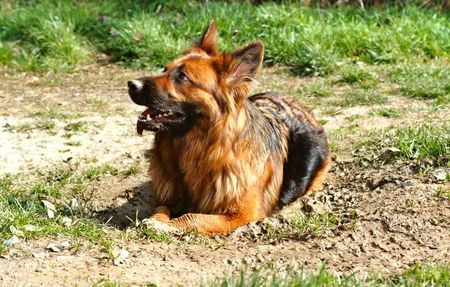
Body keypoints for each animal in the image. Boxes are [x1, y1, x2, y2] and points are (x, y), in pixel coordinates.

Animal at [126, 20, 330, 236]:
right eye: (164, 69)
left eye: (182, 77)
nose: (131, 84)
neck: (198, 149)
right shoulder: (167, 199)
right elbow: (161, 210)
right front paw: (155, 221)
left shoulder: (240, 215)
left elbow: (193, 217)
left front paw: (167, 225)